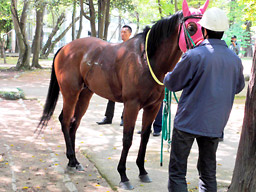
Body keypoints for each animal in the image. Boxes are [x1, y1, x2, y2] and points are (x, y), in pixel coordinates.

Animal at [38, 0, 208, 188]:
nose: (205, 51)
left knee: (74, 123)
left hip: (85, 94)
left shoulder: (153, 106)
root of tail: (65, 48)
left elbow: (145, 137)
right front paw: (123, 175)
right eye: (191, 27)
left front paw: (142, 171)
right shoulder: (131, 105)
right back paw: (70, 159)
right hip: (70, 93)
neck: (145, 58)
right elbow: (127, 138)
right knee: (65, 120)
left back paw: (75, 161)